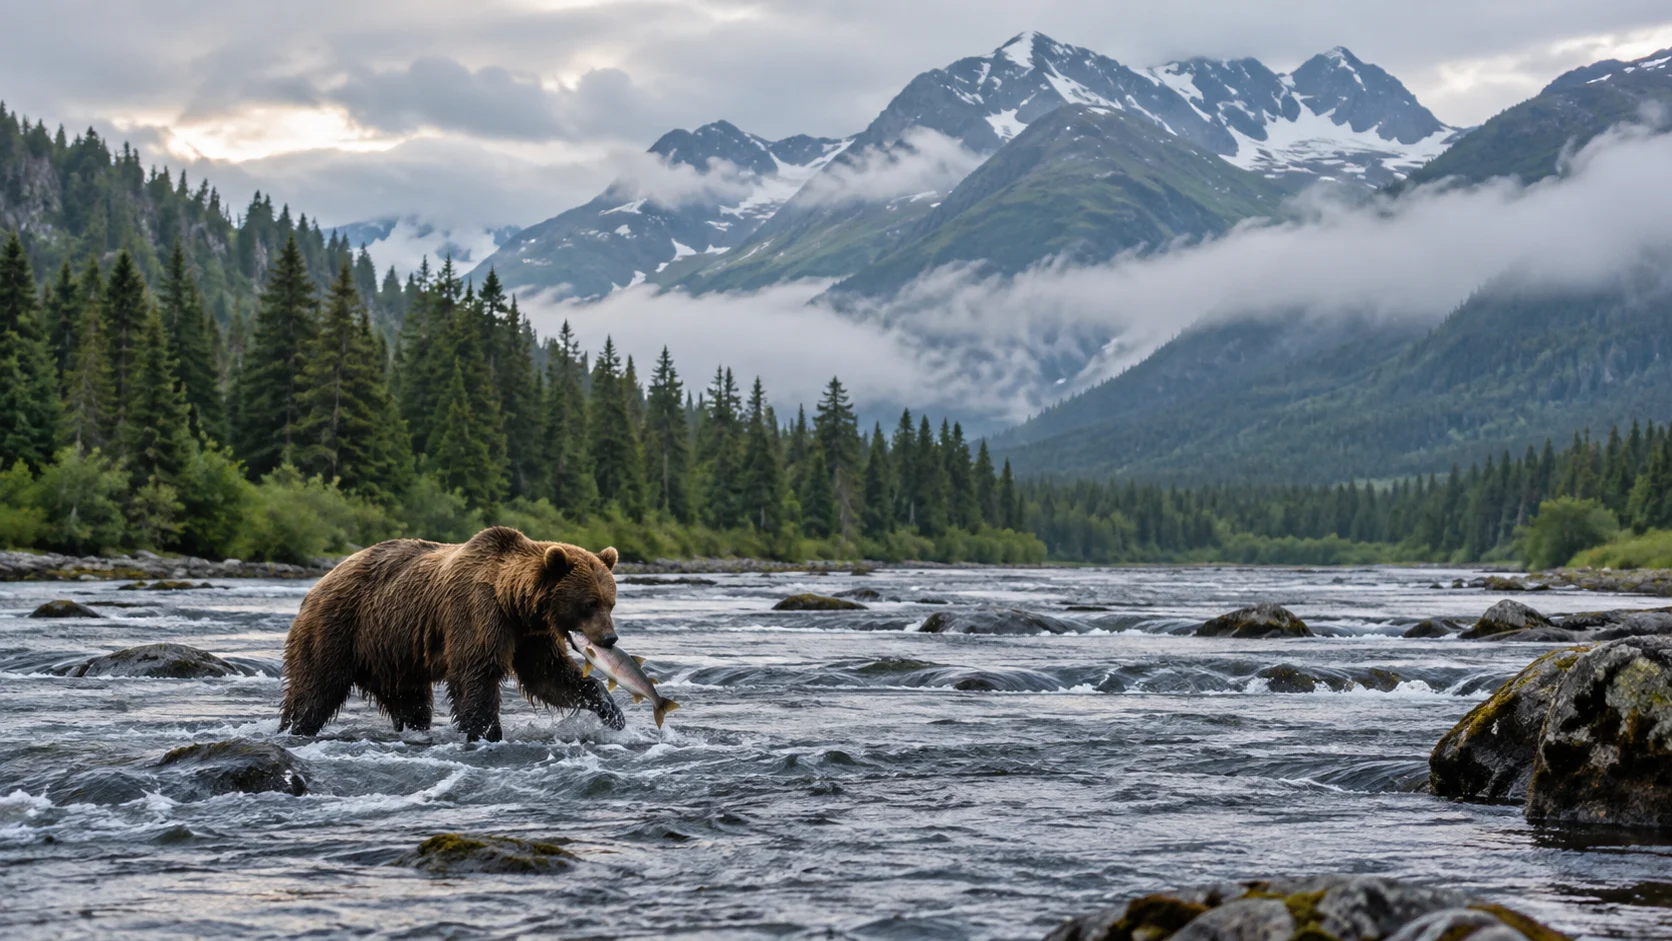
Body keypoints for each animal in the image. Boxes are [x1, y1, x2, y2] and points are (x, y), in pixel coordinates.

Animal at [278, 526, 626, 741]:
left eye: (611, 601)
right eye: (590, 603)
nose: (610, 638)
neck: (514, 603)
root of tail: (318, 584)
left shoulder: (530, 636)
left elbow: (549, 676)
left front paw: (611, 710)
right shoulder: (475, 612)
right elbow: (477, 674)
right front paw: (487, 732)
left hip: (391, 656)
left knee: (412, 703)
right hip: (337, 628)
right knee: (314, 690)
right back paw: (294, 726)